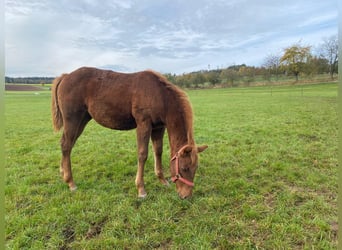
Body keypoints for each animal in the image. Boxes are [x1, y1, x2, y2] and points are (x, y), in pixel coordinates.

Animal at [50, 67, 206, 199]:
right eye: (184, 168)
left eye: (195, 168)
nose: (186, 195)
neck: (159, 95)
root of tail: (65, 76)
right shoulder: (143, 124)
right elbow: (143, 154)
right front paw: (141, 189)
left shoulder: (158, 127)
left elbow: (158, 151)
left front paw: (162, 180)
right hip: (73, 120)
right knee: (66, 145)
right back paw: (71, 182)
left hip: (82, 120)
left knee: (67, 144)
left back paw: (63, 173)